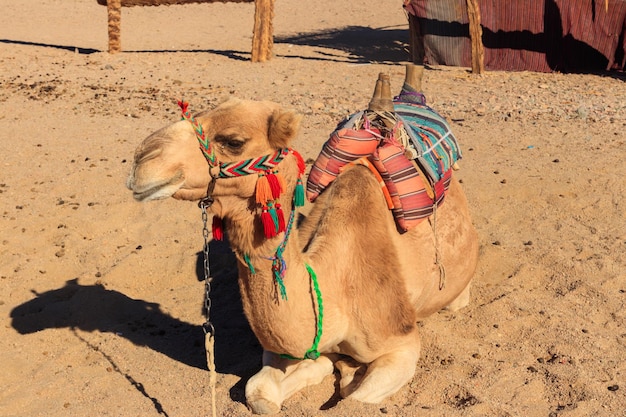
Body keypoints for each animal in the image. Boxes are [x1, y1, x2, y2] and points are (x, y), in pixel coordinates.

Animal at [127, 66, 478, 412]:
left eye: (233, 141)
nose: (141, 160)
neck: (338, 285)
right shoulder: (281, 348)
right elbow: (260, 389)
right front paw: (332, 368)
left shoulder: (401, 343)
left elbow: (352, 400)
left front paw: (346, 376)